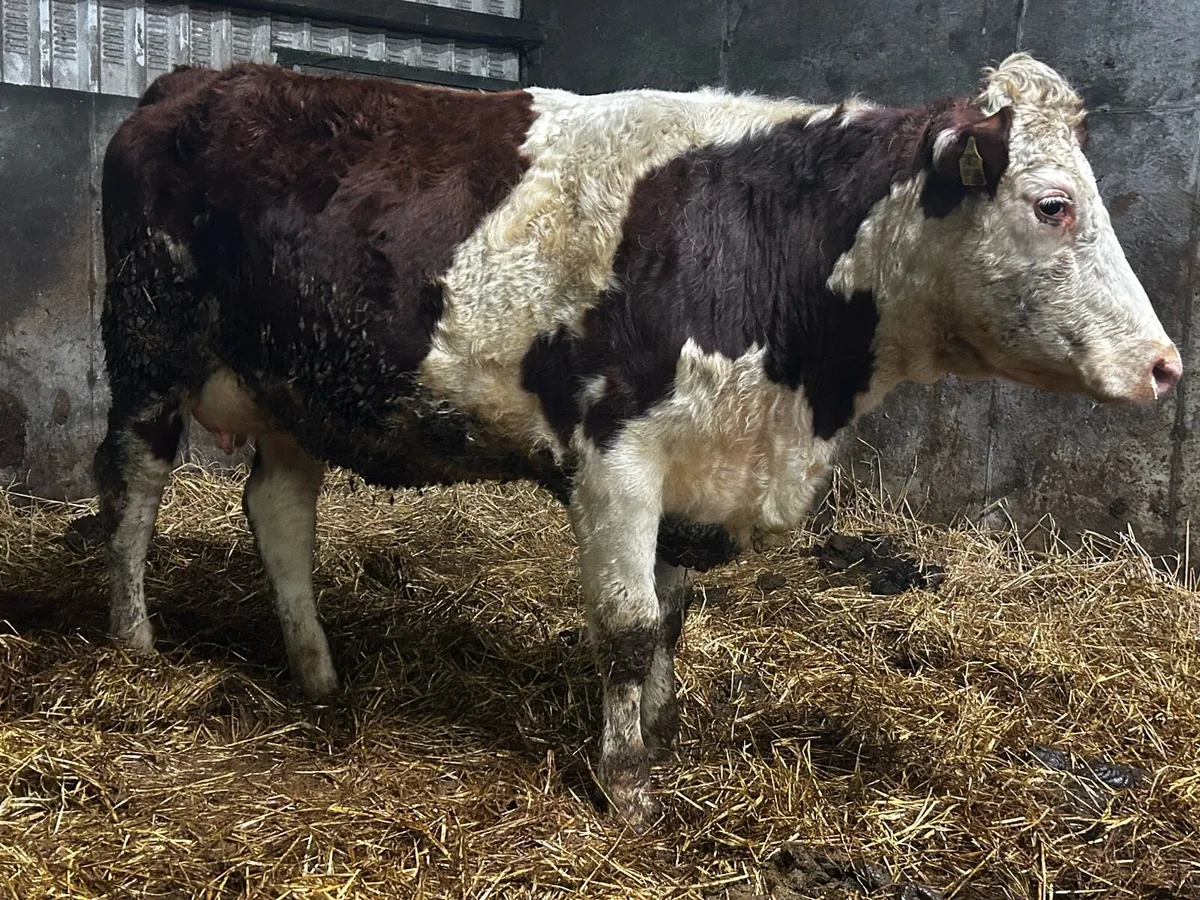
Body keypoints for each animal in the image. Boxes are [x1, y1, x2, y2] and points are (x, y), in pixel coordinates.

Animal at [94, 53, 1181, 827]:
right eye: (1054, 204)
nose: (1166, 365)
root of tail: (196, 80)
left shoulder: (703, 461)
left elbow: (670, 616)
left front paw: (662, 729)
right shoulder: (616, 455)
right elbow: (623, 625)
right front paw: (626, 784)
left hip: (295, 388)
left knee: (279, 512)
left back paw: (318, 673)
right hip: (149, 344)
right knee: (134, 489)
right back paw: (134, 642)